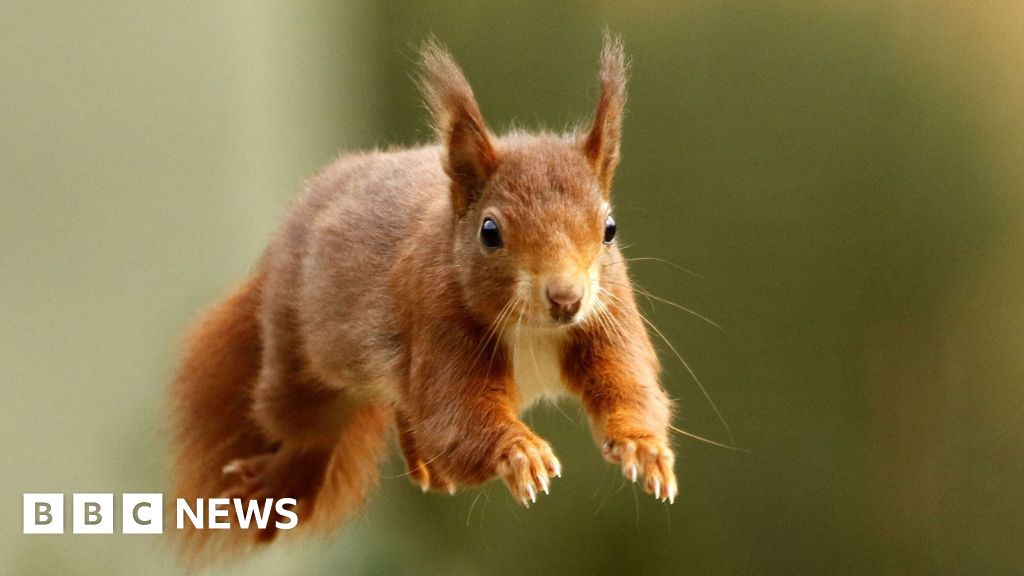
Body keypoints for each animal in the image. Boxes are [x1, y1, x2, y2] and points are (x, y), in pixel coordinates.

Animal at [170, 35, 675, 560]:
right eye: (490, 232)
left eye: (609, 229)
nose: (565, 298)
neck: (532, 330)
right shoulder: (438, 319)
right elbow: (457, 418)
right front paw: (520, 452)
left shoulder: (608, 315)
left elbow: (629, 383)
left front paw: (644, 446)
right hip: (296, 358)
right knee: (308, 427)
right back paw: (277, 485)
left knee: (404, 407)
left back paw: (423, 464)